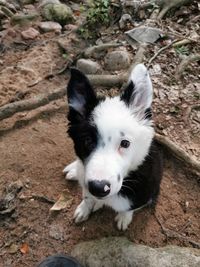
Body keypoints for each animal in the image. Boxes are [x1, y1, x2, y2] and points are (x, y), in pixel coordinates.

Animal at [63, 63, 163, 231]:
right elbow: (87, 196)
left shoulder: (144, 191)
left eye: (125, 143)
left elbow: (129, 207)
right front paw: (84, 208)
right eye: (87, 141)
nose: (98, 188)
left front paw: (124, 218)